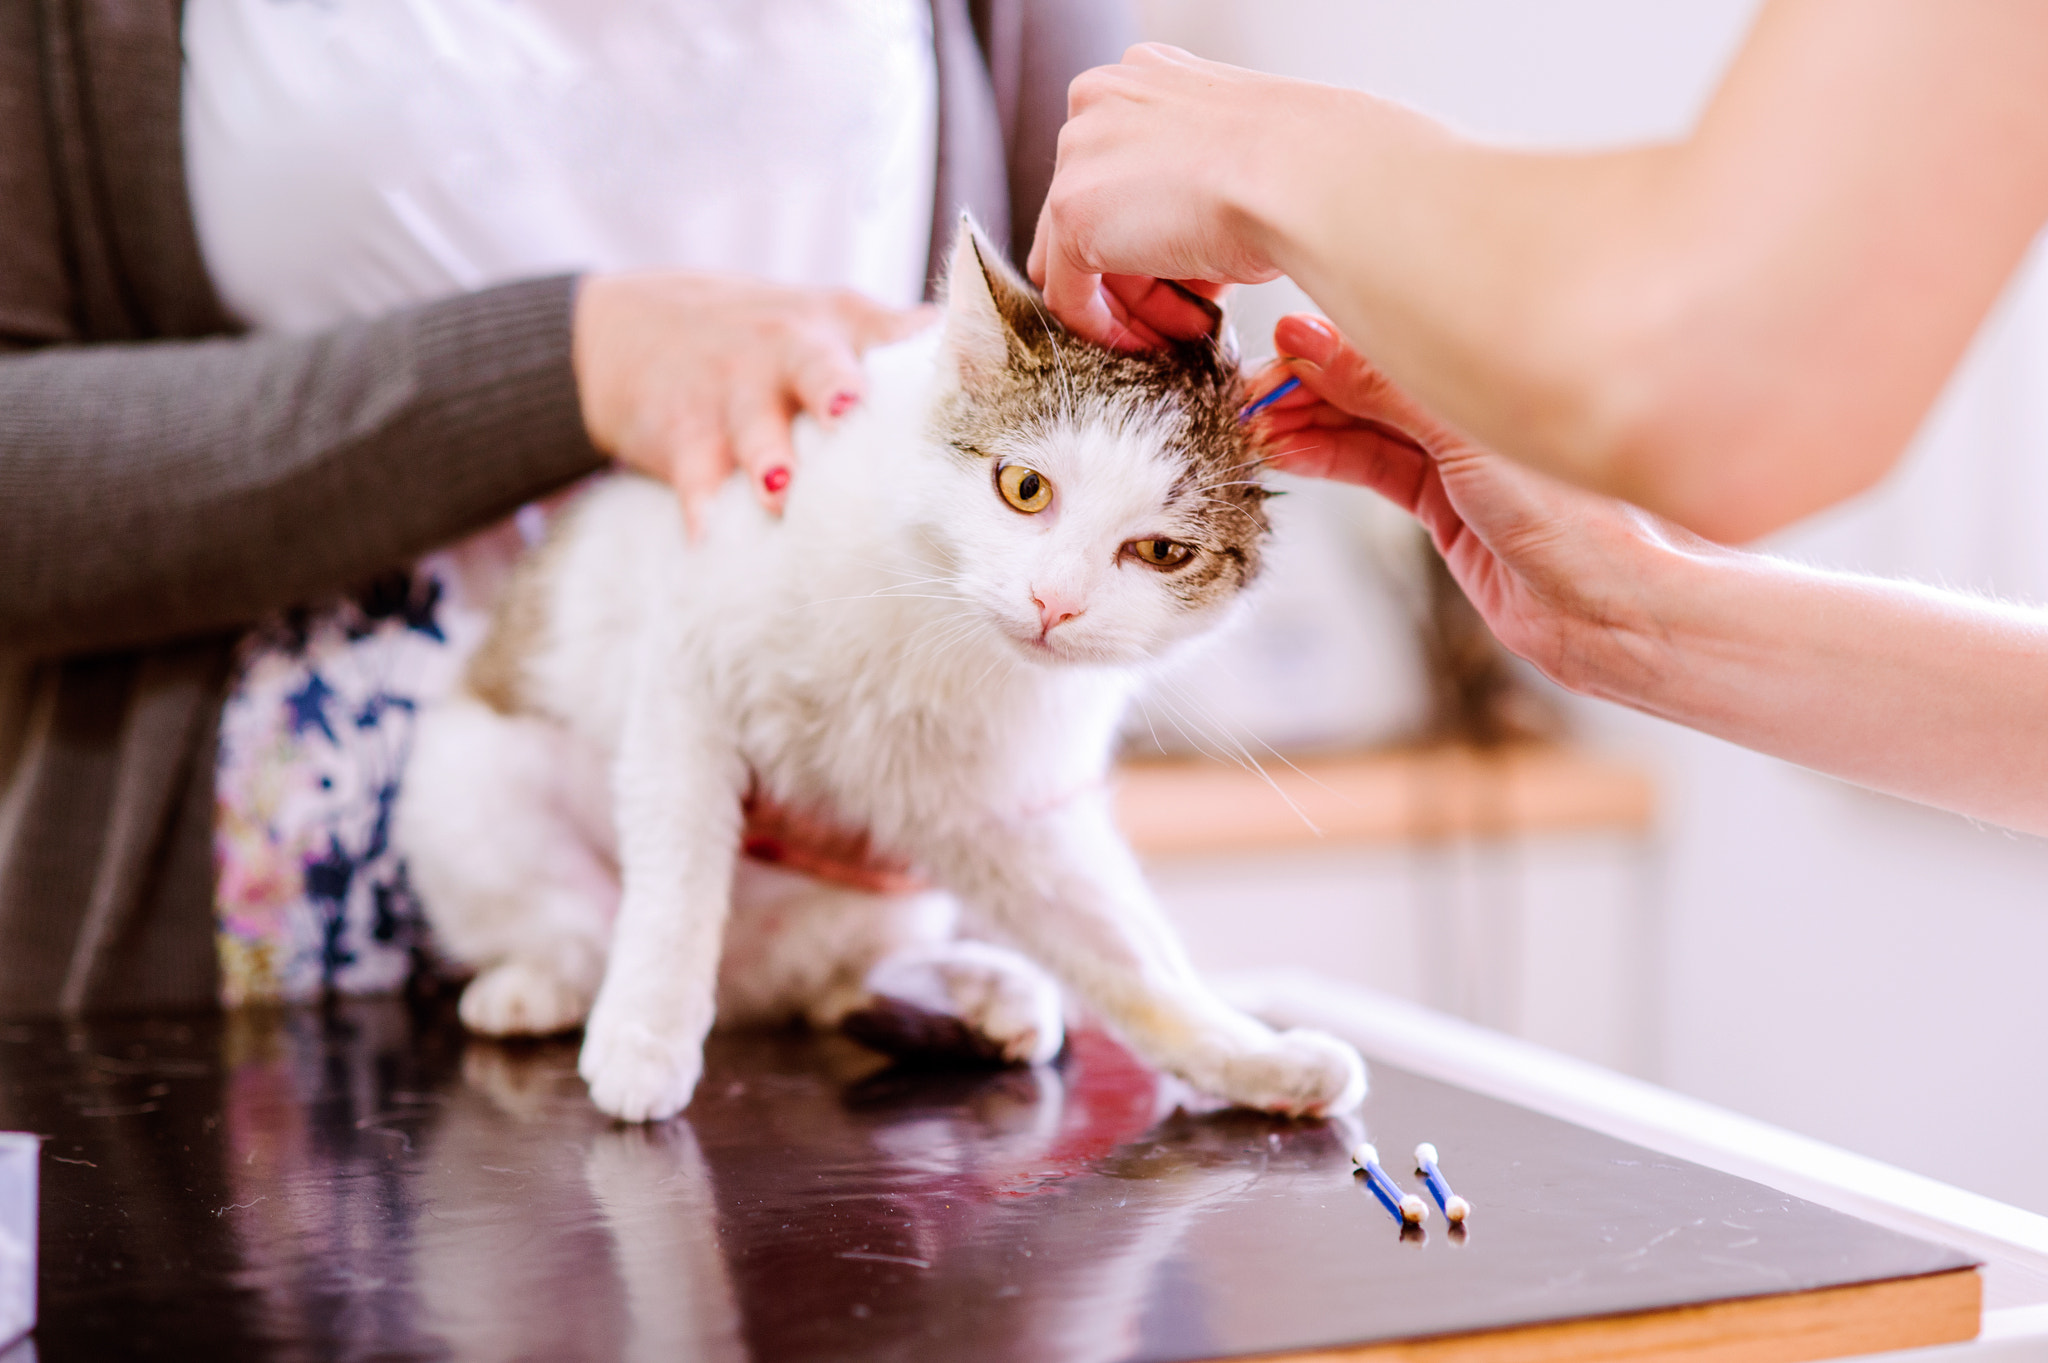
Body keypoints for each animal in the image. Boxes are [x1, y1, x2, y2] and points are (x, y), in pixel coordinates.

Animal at [391, 220, 1368, 1113]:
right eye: (1025, 487)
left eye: (1163, 551)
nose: (1054, 601)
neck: (939, 624)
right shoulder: (689, 674)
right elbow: (677, 876)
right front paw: (645, 1031)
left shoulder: (1002, 802)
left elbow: (1121, 950)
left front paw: (1248, 1054)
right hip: (468, 789)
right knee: (570, 923)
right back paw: (541, 985)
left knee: (834, 983)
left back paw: (984, 989)